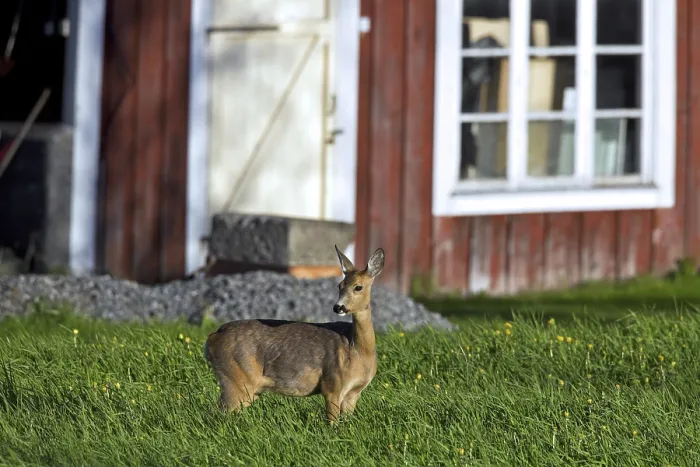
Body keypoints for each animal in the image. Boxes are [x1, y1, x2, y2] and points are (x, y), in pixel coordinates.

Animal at [203, 245, 385, 422]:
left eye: (358, 287)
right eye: (339, 286)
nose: (338, 307)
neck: (358, 350)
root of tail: (213, 337)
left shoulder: (353, 393)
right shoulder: (332, 384)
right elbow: (332, 423)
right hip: (237, 379)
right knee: (215, 413)